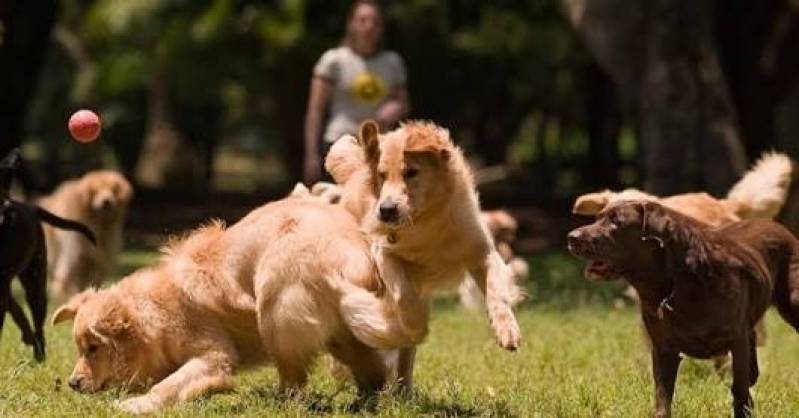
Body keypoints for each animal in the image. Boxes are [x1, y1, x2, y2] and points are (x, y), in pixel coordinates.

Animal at [0, 149, 97, 360]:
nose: (9, 209)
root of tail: (31, 207)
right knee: (18, 310)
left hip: (35, 282)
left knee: (38, 326)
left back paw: (38, 354)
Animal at [39, 168, 134, 298]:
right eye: (95, 191)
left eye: (113, 190)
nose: (107, 201)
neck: (99, 226)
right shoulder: (78, 259)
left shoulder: (100, 261)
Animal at [50, 198, 424, 414]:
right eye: (81, 348)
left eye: (93, 348)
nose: (72, 383)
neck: (156, 310)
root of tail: (348, 256)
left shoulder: (214, 353)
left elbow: (169, 384)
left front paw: (136, 404)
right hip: (342, 335)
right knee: (372, 373)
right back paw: (362, 403)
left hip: (274, 305)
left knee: (295, 379)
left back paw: (279, 403)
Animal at [326, 119, 524, 390]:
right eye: (382, 175)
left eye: (411, 172)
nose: (386, 210)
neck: (426, 221)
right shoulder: (383, 252)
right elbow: (403, 295)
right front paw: (416, 325)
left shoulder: (482, 252)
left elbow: (496, 292)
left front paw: (507, 330)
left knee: (405, 359)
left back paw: (404, 390)